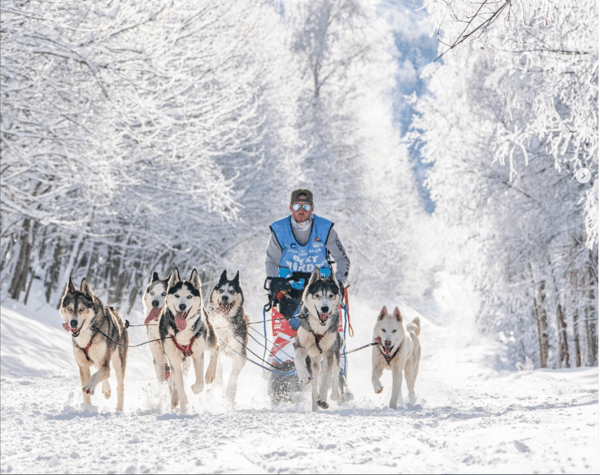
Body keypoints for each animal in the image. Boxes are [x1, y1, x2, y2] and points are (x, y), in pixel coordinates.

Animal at [59, 278, 128, 412]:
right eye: (69, 308)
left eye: (82, 309)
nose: (73, 322)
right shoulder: (83, 366)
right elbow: (86, 390)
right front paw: (87, 408)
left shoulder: (105, 363)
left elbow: (98, 375)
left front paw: (90, 386)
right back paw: (107, 391)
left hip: (118, 362)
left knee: (120, 386)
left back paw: (119, 409)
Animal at [158, 268, 219, 412]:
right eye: (177, 295)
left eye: (189, 296)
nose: (182, 306)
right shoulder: (174, 359)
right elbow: (180, 386)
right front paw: (183, 406)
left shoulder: (198, 354)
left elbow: (200, 383)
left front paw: (195, 389)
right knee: (176, 381)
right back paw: (175, 399)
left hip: (208, 339)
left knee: (216, 347)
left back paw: (210, 374)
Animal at [206, 272, 248, 406]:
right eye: (221, 290)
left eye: (232, 291)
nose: (224, 297)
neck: (224, 323)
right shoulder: (215, 348)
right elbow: (218, 368)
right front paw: (218, 383)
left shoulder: (240, 354)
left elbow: (233, 375)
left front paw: (230, 392)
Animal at [294, 270, 342, 410]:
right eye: (317, 295)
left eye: (331, 295)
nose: (325, 308)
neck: (318, 329)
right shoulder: (301, 346)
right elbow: (296, 357)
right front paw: (303, 376)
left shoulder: (329, 353)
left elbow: (326, 379)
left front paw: (323, 399)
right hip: (313, 363)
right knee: (314, 385)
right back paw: (314, 405)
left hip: (335, 353)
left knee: (335, 373)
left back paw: (334, 395)